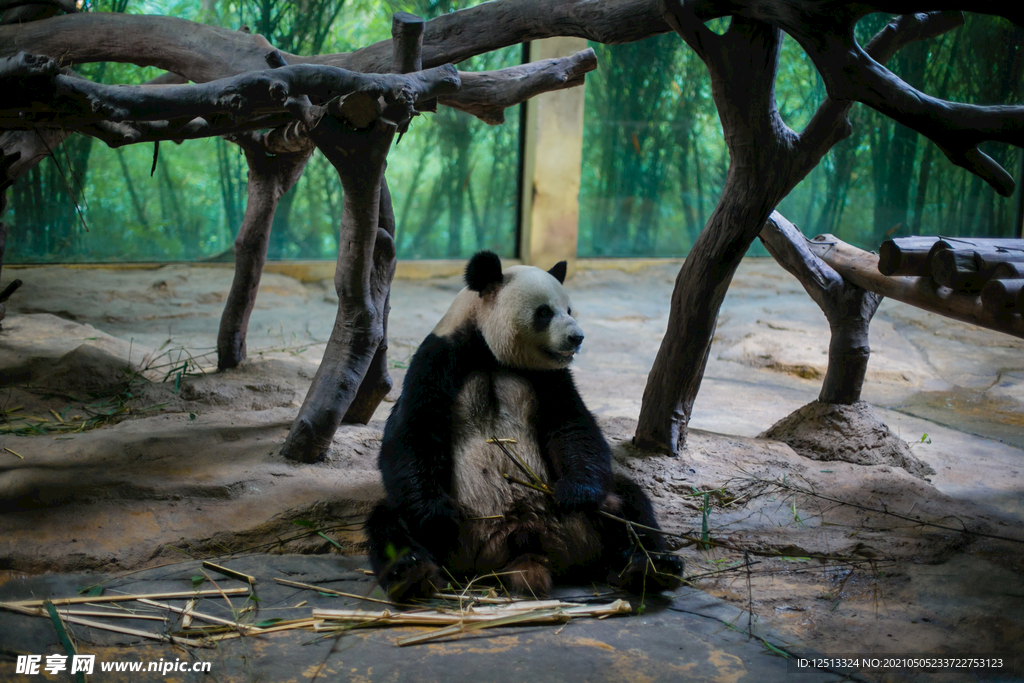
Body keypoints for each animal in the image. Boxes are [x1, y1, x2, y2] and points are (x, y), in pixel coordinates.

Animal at [366, 251, 682, 601]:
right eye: (544, 312)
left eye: (569, 309)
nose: (577, 337)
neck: (489, 351)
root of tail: (526, 550)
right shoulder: (438, 358)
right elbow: (415, 431)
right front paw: (438, 517)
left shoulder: (549, 377)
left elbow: (572, 426)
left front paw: (574, 494)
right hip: (460, 540)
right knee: (388, 521)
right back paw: (411, 573)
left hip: (587, 526)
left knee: (627, 505)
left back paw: (652, 566)